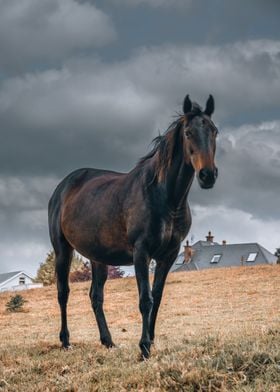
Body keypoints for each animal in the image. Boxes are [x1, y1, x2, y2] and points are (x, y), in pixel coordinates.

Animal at [48, 94, 219, 358]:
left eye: (214, 131)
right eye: (188, 132)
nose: (207, 175)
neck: (164, 196)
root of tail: (63, 187)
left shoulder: (168, 255)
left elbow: (157, 297)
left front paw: (151, 340)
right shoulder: (142, 252)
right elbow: (145, 299)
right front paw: (144, 347)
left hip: (98, 258)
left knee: (96, 296)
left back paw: (108, 341)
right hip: (62, 250)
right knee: (63, 293)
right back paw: (66, 341)